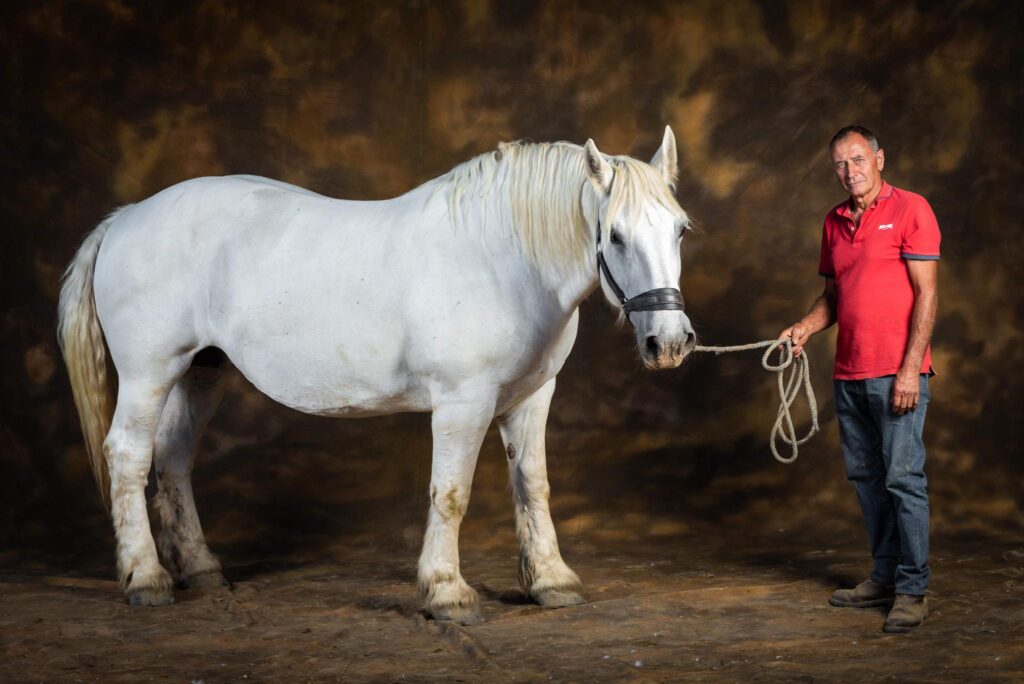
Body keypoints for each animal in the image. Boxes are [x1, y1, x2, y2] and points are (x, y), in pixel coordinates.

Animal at [57, 126, 696, 625]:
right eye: (615, 235)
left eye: (681, 230)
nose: (669, 343)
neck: (501, 258)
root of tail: (125, 219)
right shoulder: (463, 402)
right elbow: (452, 493)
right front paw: (447, 593)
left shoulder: (533, 397)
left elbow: (532, 485)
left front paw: (551, 582)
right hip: (149, 372)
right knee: (129, 456)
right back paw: (146, 578)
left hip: (201, 372)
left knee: (173, 457)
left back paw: (201, 568)